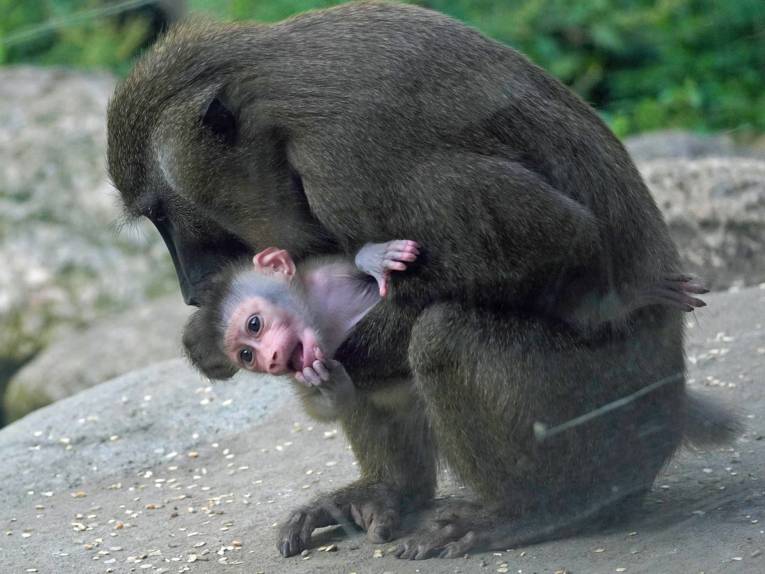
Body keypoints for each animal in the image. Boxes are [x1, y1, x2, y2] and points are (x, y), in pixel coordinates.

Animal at [107, 2, 739, 560]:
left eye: (165, 212)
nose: (191, 289)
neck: (271, 104)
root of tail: (671, 409)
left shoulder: (351, 162)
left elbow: (562, 236)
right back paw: (392, 491)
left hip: (613, 414)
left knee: (443, 335)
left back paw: (537, 509)